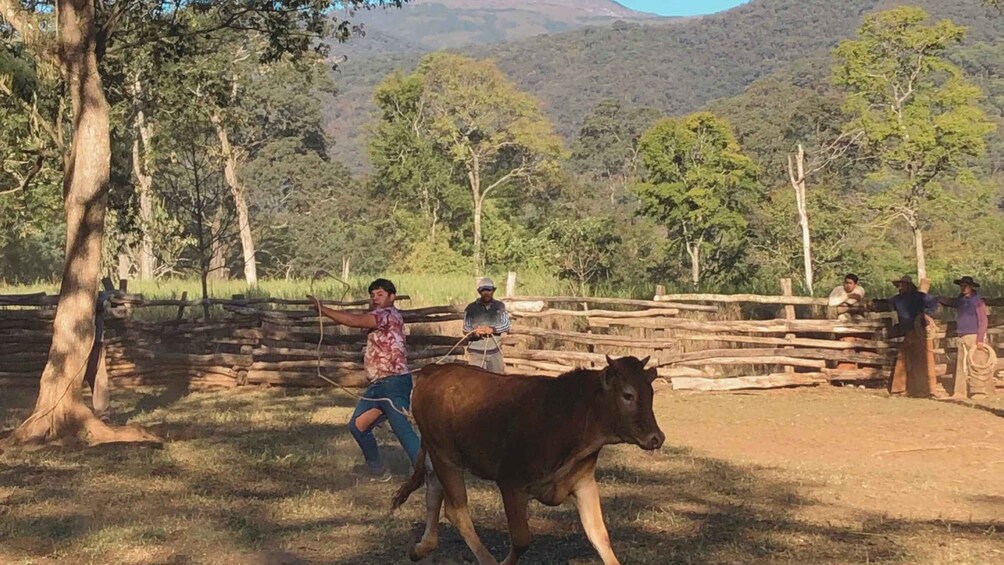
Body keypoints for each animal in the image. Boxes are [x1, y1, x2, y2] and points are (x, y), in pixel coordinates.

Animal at [387, 355, 662, 561]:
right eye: (628, 395)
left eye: (650, 393)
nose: (657, 438)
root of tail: (432, 370)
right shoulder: (511, 483)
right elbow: (521, 540)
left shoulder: (583, 483)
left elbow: (599, 535)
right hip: (447, 457)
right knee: (456, 510)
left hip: (438, 454)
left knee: (433, 491)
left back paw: (421, 548)